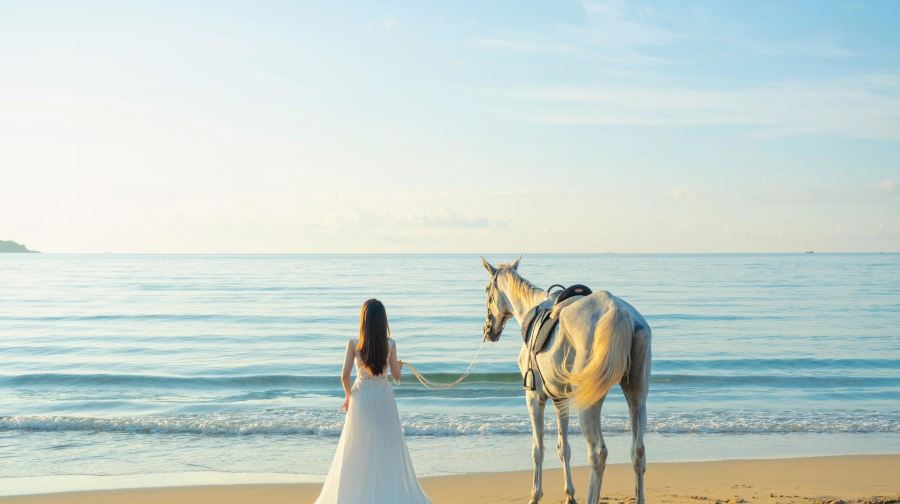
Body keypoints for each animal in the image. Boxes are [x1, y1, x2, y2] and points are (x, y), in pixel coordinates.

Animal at [480, 256, 651, 504]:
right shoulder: (560, 399)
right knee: (637, 452)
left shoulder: (534, 397)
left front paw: (535, 495)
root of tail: (618, 312)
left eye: (487, 291)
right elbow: (564, 448)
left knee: (597, 453)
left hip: (590, 403)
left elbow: (538, 449)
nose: (488, 331)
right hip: (637, 396)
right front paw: (570, 495)